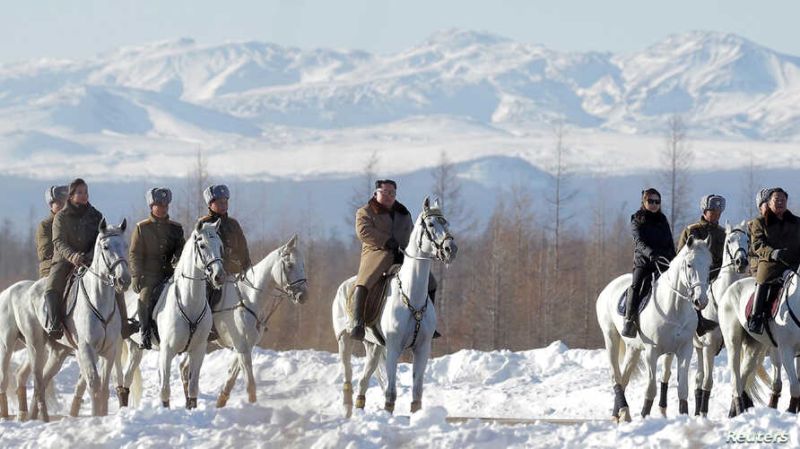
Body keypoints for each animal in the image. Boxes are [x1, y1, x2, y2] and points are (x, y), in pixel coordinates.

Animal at [11, 219, 130, 418]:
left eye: (126, 245)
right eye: (105, 246)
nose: (124, 280)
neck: (100, 300)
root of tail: (28, 290)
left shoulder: (109, 351)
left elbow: (104, 388)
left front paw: (103, 416)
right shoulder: (87, 348)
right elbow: (94, 385)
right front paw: (96, 418)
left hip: (58, 352)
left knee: (43, 380)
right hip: (36, 346)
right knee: (37, 381)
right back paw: (42, 418)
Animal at [332, 198, 456, 414]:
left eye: (446, 222)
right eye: (431, 224)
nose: (450, 248)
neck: (411, 295)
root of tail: (345, 285)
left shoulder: (422, 348)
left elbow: (417, 392)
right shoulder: (393, 347)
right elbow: (391, 392)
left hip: (373, 347)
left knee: (363, 381)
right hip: (345, 341)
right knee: (348, 376)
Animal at [592, 236, 712, 422]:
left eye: (708, 265)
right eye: (689, 265)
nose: (702, 301)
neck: (674, 306)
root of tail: (609, 287)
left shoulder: (685, 350)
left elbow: (682, 389)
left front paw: (683, 415)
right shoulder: (652, 352)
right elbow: (651, 388)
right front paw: (644, 416)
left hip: (633, 348)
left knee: (624, 378)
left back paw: (620, 415)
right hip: (610, 337)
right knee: (616, 376)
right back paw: (623, 412)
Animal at [656, 222, 752, 414]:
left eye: (747, 240)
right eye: (729, 240)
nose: (741, 262)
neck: (723, 301)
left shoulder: (723, 346)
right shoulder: (709, 347)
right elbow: (708, 382)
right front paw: (702, 412)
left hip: (698, 349)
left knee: (698, 379)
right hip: (679, 349)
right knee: (667, 374)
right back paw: (663, 408)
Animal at [716, 260, 800, 416]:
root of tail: (730, 288)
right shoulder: (786, 350)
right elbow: (795, 386)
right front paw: (791, 411)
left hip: (753, 347)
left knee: (743, 377)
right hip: (733, 342)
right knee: (736, 379)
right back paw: (739, 410)